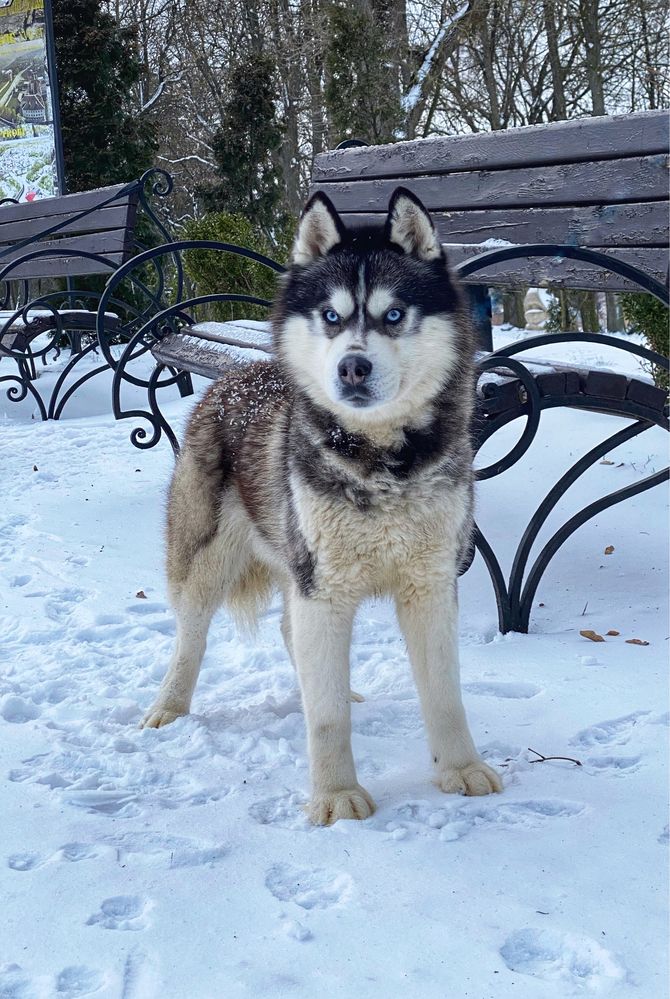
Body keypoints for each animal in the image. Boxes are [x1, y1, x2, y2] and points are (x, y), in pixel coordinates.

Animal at [142, 186, 502, 820]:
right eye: (331, 316)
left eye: (392, 314)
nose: (352, 365)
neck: (381, 461)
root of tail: (233, 377)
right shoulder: (325, 589)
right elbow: (326, 716)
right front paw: (335, 795)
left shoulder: (430, 584)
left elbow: (444, 694)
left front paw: (460, 769)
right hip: (207, 558)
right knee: (191, 634)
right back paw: (169, 706)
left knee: (290, 631)